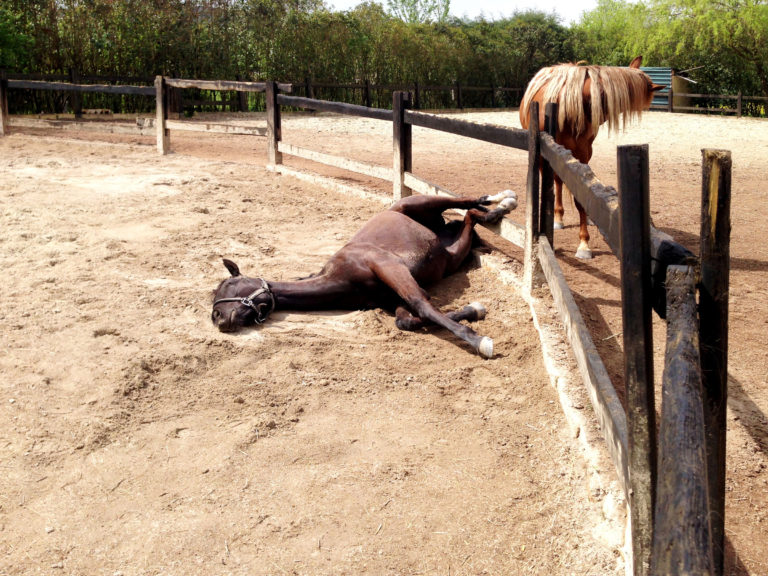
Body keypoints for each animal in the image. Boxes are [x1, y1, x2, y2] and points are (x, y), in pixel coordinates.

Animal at [211, 191, 518, 358]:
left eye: (228, 285)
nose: (217, 319)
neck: (341, 277)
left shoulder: (390, 268)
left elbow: (423, 306)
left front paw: (480, 342)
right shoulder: (390, 299)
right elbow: (408, 321)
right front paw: (475, 310)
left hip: (425, 203)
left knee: (465, 201)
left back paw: (505, 200)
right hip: (452, 255)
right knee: (470, 218)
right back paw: (494, 213)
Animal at [520, 56, 665, 259]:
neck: (572, 104)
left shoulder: (582, 153)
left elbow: (581, 195)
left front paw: (583, 243)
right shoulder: (545, 155)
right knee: (557, 182)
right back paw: (558, 217)